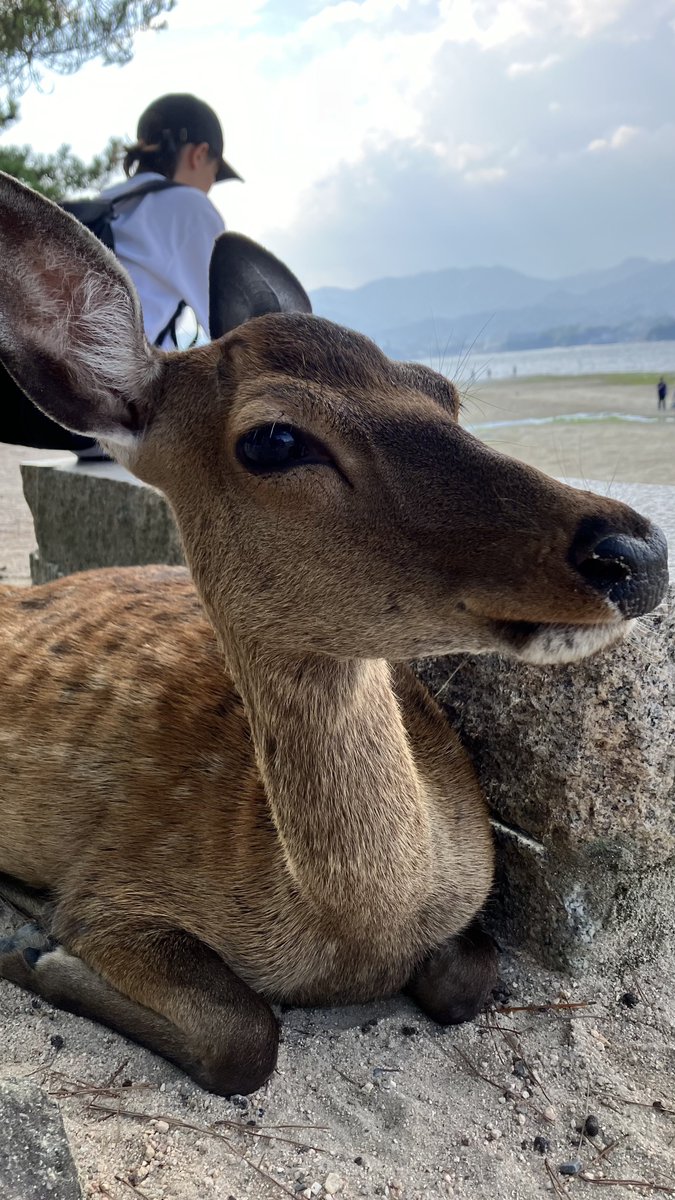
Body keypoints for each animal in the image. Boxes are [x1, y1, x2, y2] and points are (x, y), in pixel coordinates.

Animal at [0, 172, 668, 1097]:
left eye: (443, 392)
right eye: (275, 439)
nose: (632, 552)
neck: (348, 932)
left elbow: (469, 976)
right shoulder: (112, 890)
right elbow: (243, 1036)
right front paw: (34, 948)